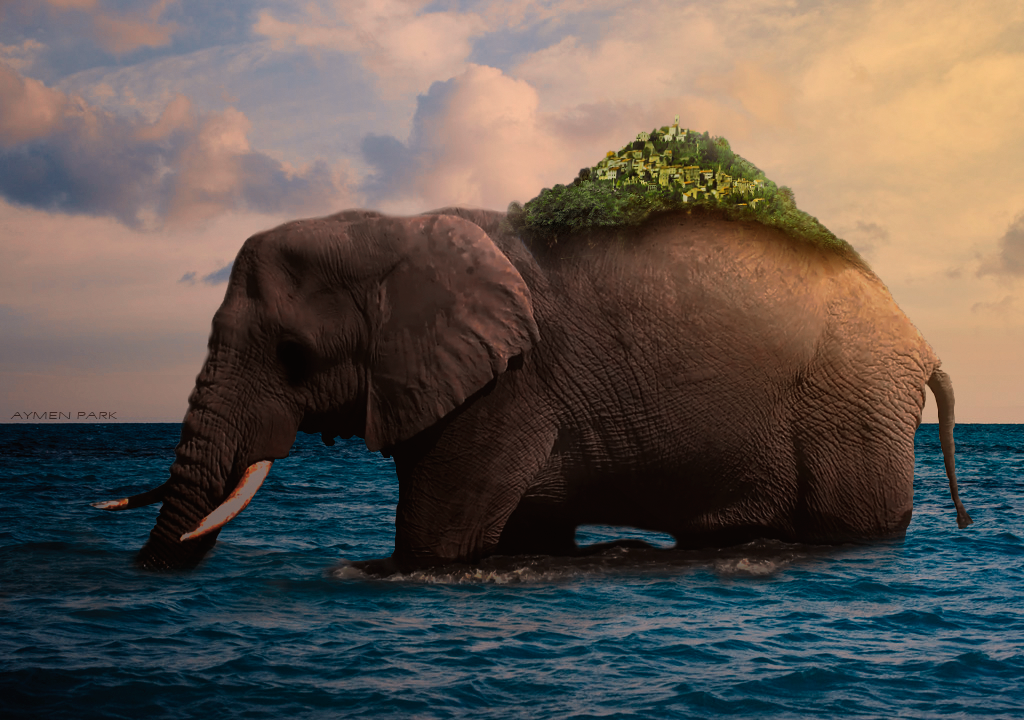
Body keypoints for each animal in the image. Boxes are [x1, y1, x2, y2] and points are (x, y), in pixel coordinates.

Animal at [93, 206, 973, 571]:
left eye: (292, 352)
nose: (149, 571)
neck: (395, 229)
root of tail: (924, 343)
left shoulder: (510, 387)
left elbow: (435, 545)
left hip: (850, 411)